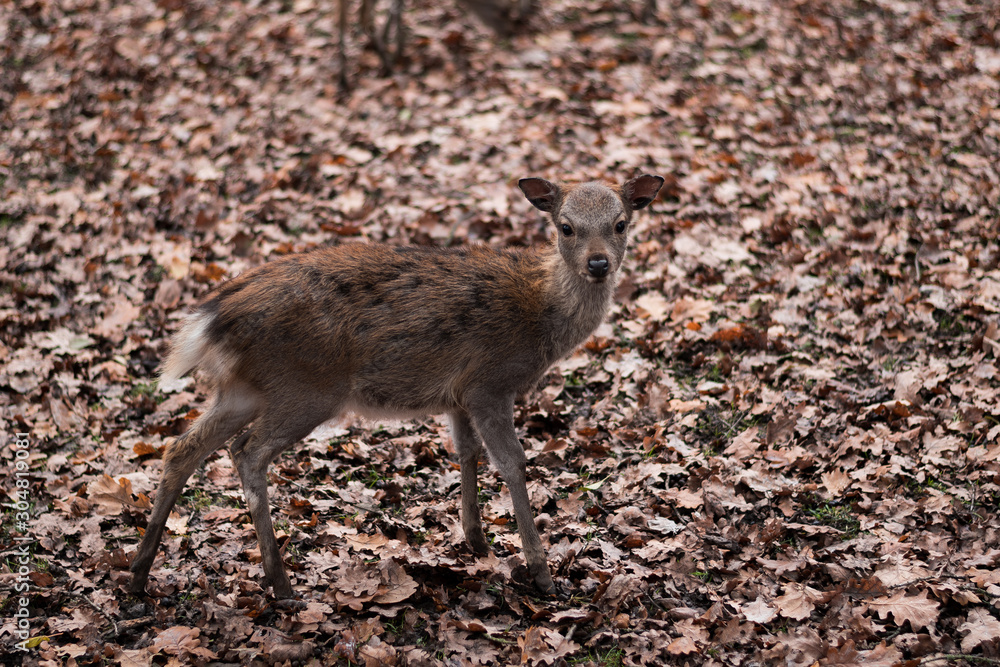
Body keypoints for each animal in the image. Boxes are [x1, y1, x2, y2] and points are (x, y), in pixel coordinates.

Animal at [129, 174, 664, 598]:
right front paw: (541, 572)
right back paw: (280, 585)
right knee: (247, 452)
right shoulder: (490, 381)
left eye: (621, 223)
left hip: (244, 389)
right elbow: (512, 462)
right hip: (306, 387)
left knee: (182, 447)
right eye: (565, 226)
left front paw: (476, 540)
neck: (540, 315)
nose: (598, 264)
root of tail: (214, 317)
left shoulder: (457, 394)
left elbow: (466, 451)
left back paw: (138, 574)